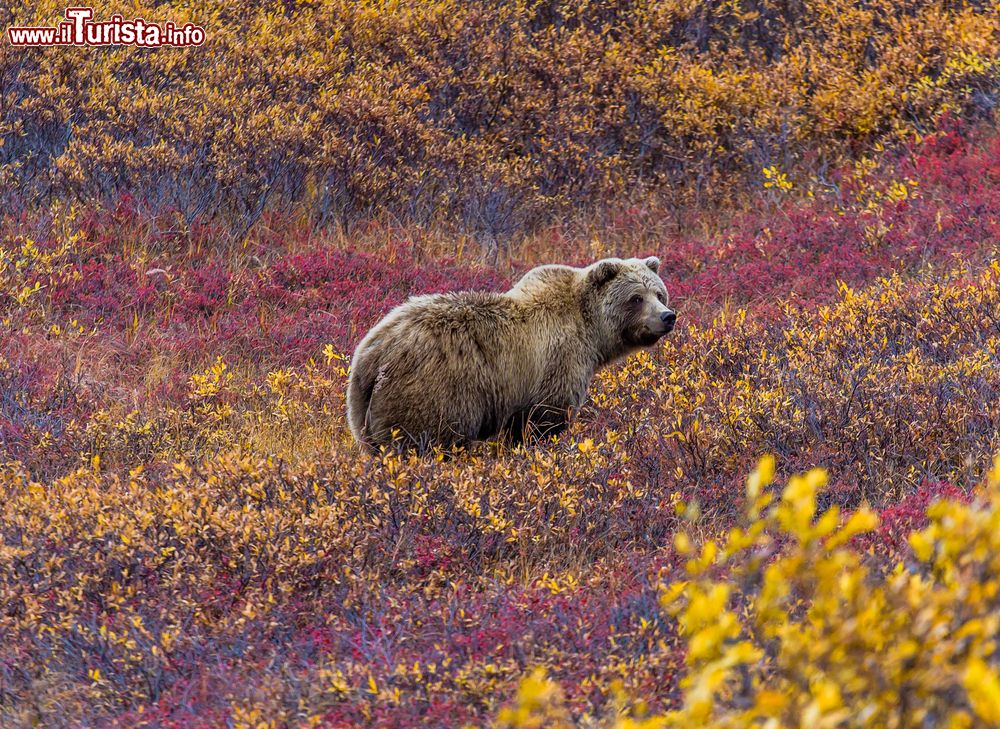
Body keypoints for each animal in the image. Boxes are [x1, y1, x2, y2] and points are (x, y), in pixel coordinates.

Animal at [346, 256, 680, 450]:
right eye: (636, 298)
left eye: (659, 293)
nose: (667, 316)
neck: (591, 331)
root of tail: (371, 354)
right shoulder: (557, 363)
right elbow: (543, 420)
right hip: (431, 392)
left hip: (362, 410)